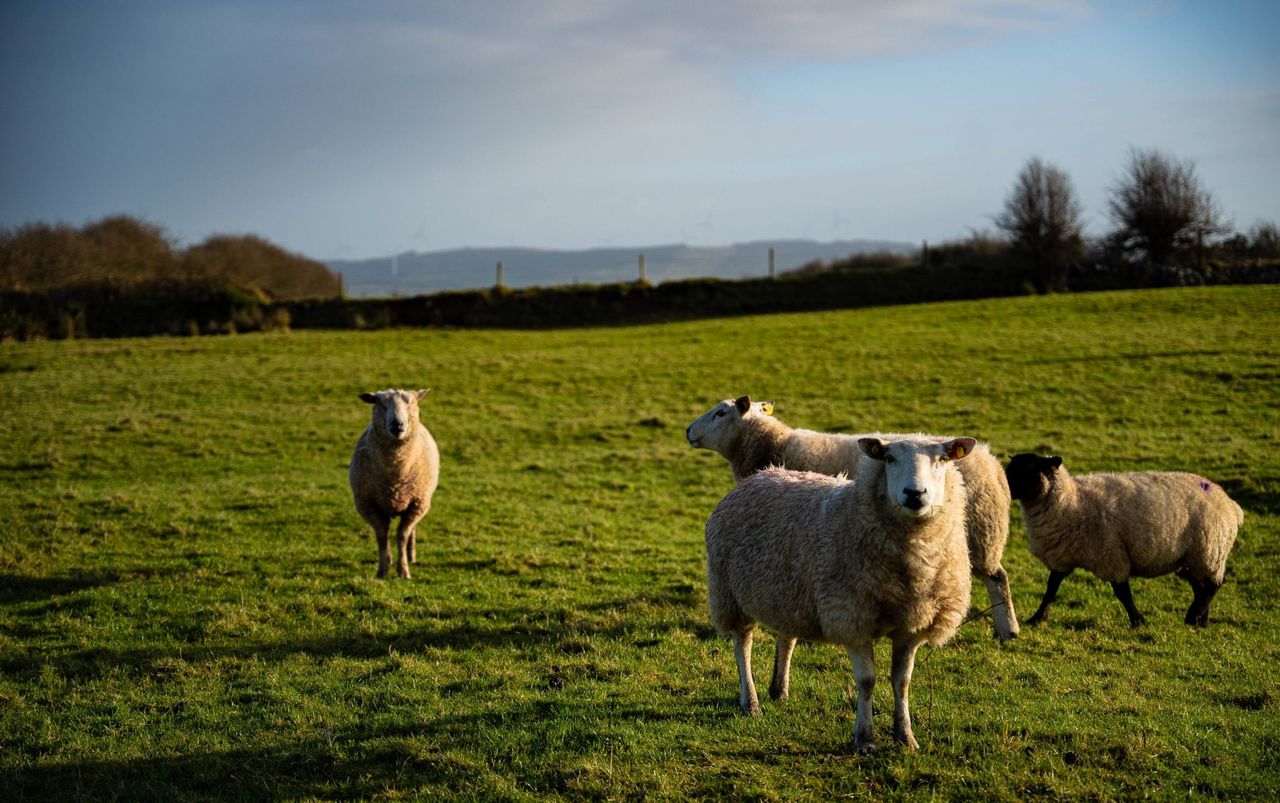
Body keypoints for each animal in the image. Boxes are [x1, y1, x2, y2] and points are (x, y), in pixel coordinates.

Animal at [349, 388, 440, 579]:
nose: (397, 425)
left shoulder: (417, 504)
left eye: (410, 403)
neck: (395, 473)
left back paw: (411, 556)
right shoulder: (367, 504)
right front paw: (383, 569)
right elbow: (382, 536)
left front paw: (403, 570)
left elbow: (403, 535)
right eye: (381, 403)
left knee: (410, 531)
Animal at [687, 395, 1019, 642]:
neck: (771, 444)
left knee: (997, 578)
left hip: (979, 533)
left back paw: (1008, 630)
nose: (688, 431)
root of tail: (992, 464)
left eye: (720, 412)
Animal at [704, 435, 974, 753]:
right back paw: (751, 702)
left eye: (942, 459)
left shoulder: (913, 625)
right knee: (742, 645)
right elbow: (867, 681)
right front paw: (865, 739)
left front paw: (905, 736)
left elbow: (902, 682)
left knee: (786, 638)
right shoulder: (851, 617)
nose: (915, 493)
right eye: (889, 458)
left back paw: (779, 690)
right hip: (729, 594)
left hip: (789, 592)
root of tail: (760, 475)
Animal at [1005, 453, 1244, 628]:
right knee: (1201, 587)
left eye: (1026, 470)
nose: (1003, 488)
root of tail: (1231, 504)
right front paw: (1037, 618)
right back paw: (1201, 620)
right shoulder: (1062, 557)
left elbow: (1122, 593)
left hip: (1208, 551)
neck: (1072, 501)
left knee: (1213, 585)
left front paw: (1138, 620)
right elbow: (1051, 589)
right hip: (1190, 558)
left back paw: (1193, 616)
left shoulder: (1112, 556)